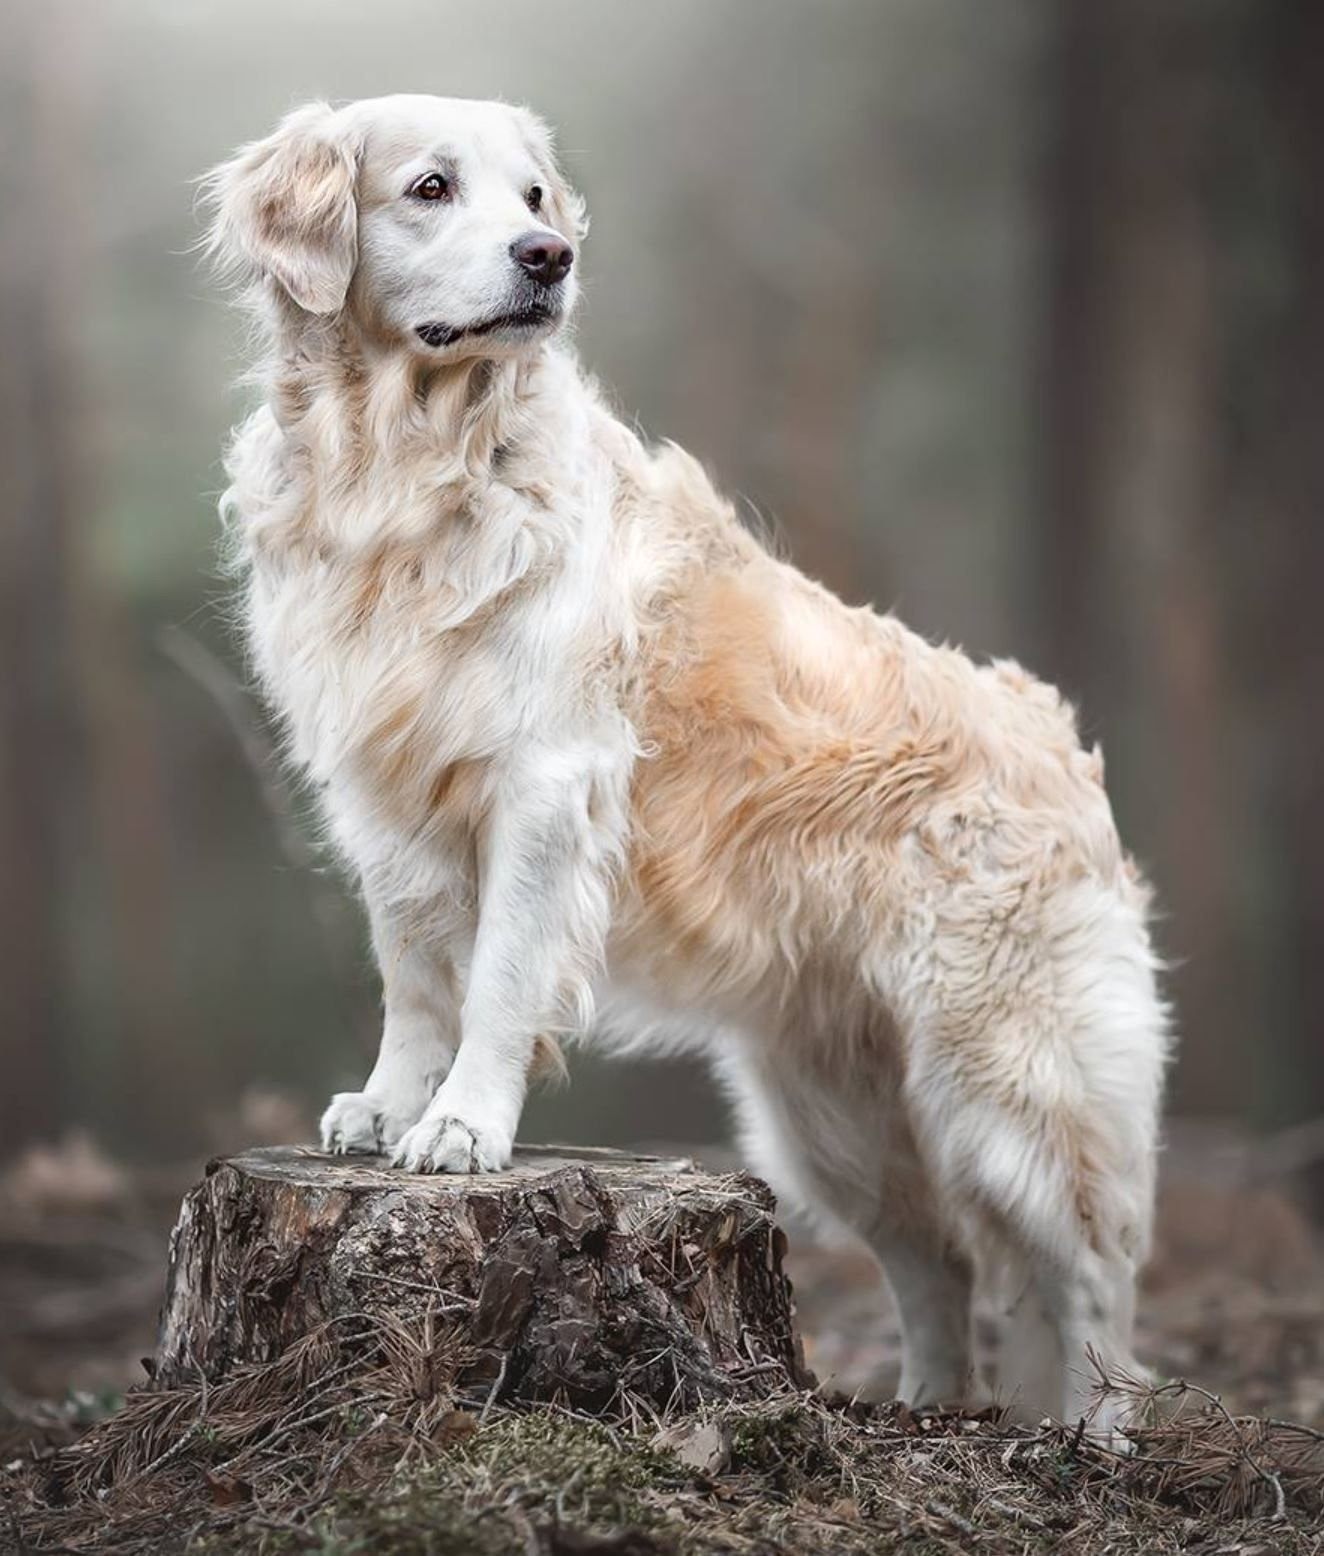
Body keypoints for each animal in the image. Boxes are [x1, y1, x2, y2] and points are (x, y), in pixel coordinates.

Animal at [203, 94, 1169, 1431]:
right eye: (432, 188)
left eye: (535, 198)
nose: (548, 259)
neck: (412, 464)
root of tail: (1063, 746)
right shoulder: (379, 793)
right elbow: (414, 973)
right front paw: (390, 1102)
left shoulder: (545, 781)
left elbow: (497, 978)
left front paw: (461, 1125)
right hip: (829, 1110)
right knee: (938, 1258)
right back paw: (923, 1410)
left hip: (1016, 1079)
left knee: (1091, 1281)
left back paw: (1096, 1436)